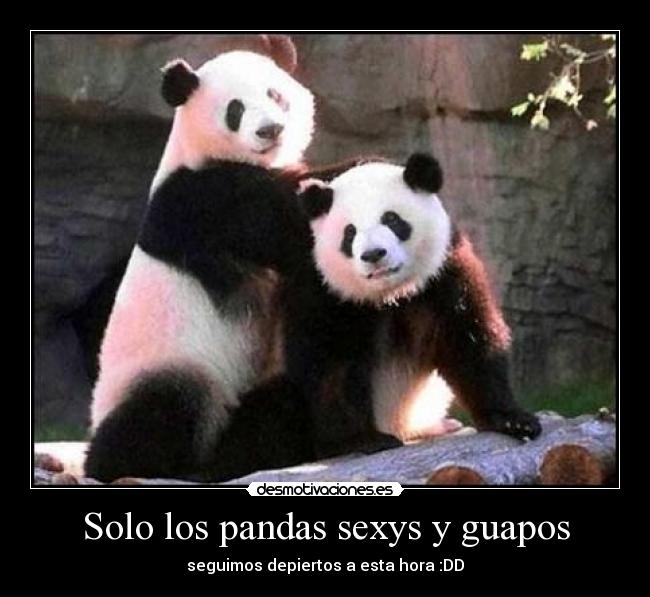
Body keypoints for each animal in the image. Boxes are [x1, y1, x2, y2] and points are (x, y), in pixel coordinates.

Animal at [84, 36, 318, 482]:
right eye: (235, 109)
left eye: (275, 95)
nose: (269, 130)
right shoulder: (198, 199)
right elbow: (280, 226)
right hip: (173, 366)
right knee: (160, 412)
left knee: (276, 408)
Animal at [288, 152, 542, 458]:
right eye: (349, 233)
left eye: (392, 219)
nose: (374, 254)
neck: (388, 295)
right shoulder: (328, 293)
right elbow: (333, 364)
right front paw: (362, 439)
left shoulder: (443, 274)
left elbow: (469, 339)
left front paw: (513, 420)